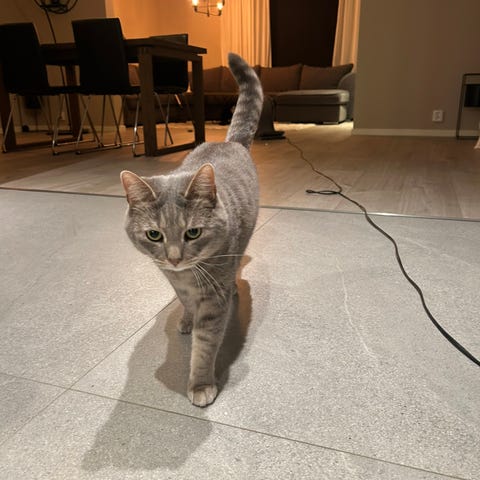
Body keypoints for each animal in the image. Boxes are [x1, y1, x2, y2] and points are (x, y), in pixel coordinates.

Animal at [120, 53, 263, 407]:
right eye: (154, 235)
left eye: (193, 233)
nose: (174, 259)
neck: (187, 275)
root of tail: (230, 142)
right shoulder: (175, 282)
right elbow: (184, 302)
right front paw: (186, 317)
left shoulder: (213, 298)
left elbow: (205, 344)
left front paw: (200, 383)